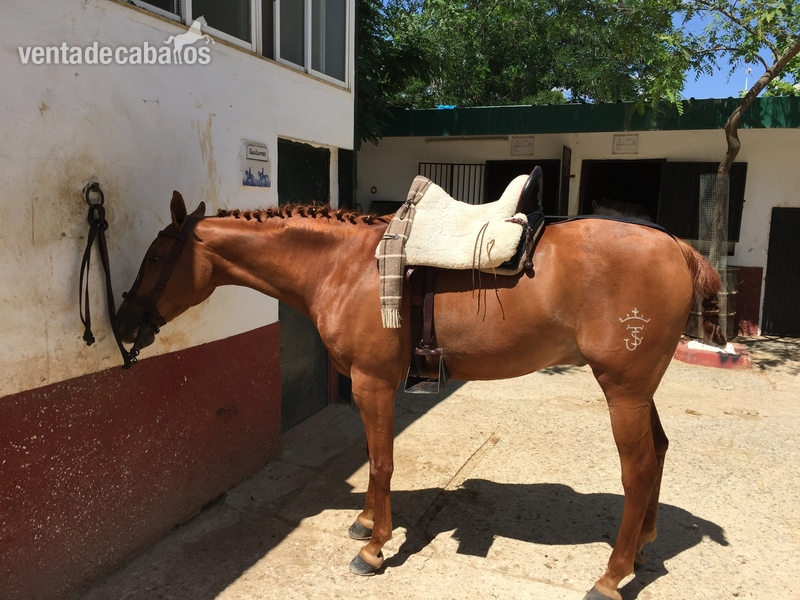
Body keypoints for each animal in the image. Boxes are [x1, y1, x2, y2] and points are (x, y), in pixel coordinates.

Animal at [116, 189, 722, 600]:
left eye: (155, 258)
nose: (122, 323)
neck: (345, 266)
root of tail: (678, 248)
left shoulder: (373, 382)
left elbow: (382, 460)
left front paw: (374, 546)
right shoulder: (367, 386)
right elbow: (372, 457)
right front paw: (365, 523)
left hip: (622, 392)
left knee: (638, 471)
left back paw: (612, 574)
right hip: (639, 392)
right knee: (658, 453)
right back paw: (641, 547)